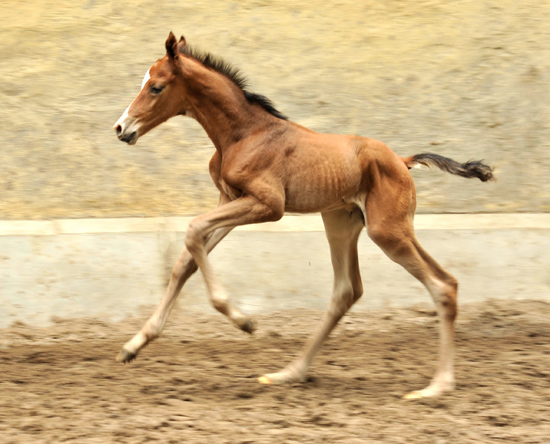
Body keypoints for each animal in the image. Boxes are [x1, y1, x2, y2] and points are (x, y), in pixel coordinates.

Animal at [114, 32, 494, 398]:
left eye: (155, 86)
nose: (121, 128)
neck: (244, 133)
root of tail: (402, 161)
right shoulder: (229, 198)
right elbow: (186, 261)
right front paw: (133, 346)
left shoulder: (269, 205)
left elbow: (193, 231)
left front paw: (243, 321)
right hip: (344, 224)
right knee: (348, 291)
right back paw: (289, 373)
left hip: (387, 231)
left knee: (441, 285)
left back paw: (437, 386)